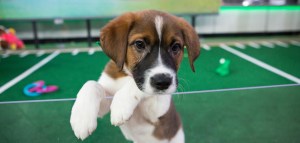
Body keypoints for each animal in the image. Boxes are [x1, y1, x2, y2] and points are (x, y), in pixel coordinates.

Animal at [71, 10, 199, 143]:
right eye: (139, 44)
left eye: (175, 47)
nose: (163, 82)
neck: (128, 75)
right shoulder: (105, 103)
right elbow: (91, 85)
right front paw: (81, 118)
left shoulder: (158, 110)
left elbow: (137, 87)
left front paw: (121, 104)